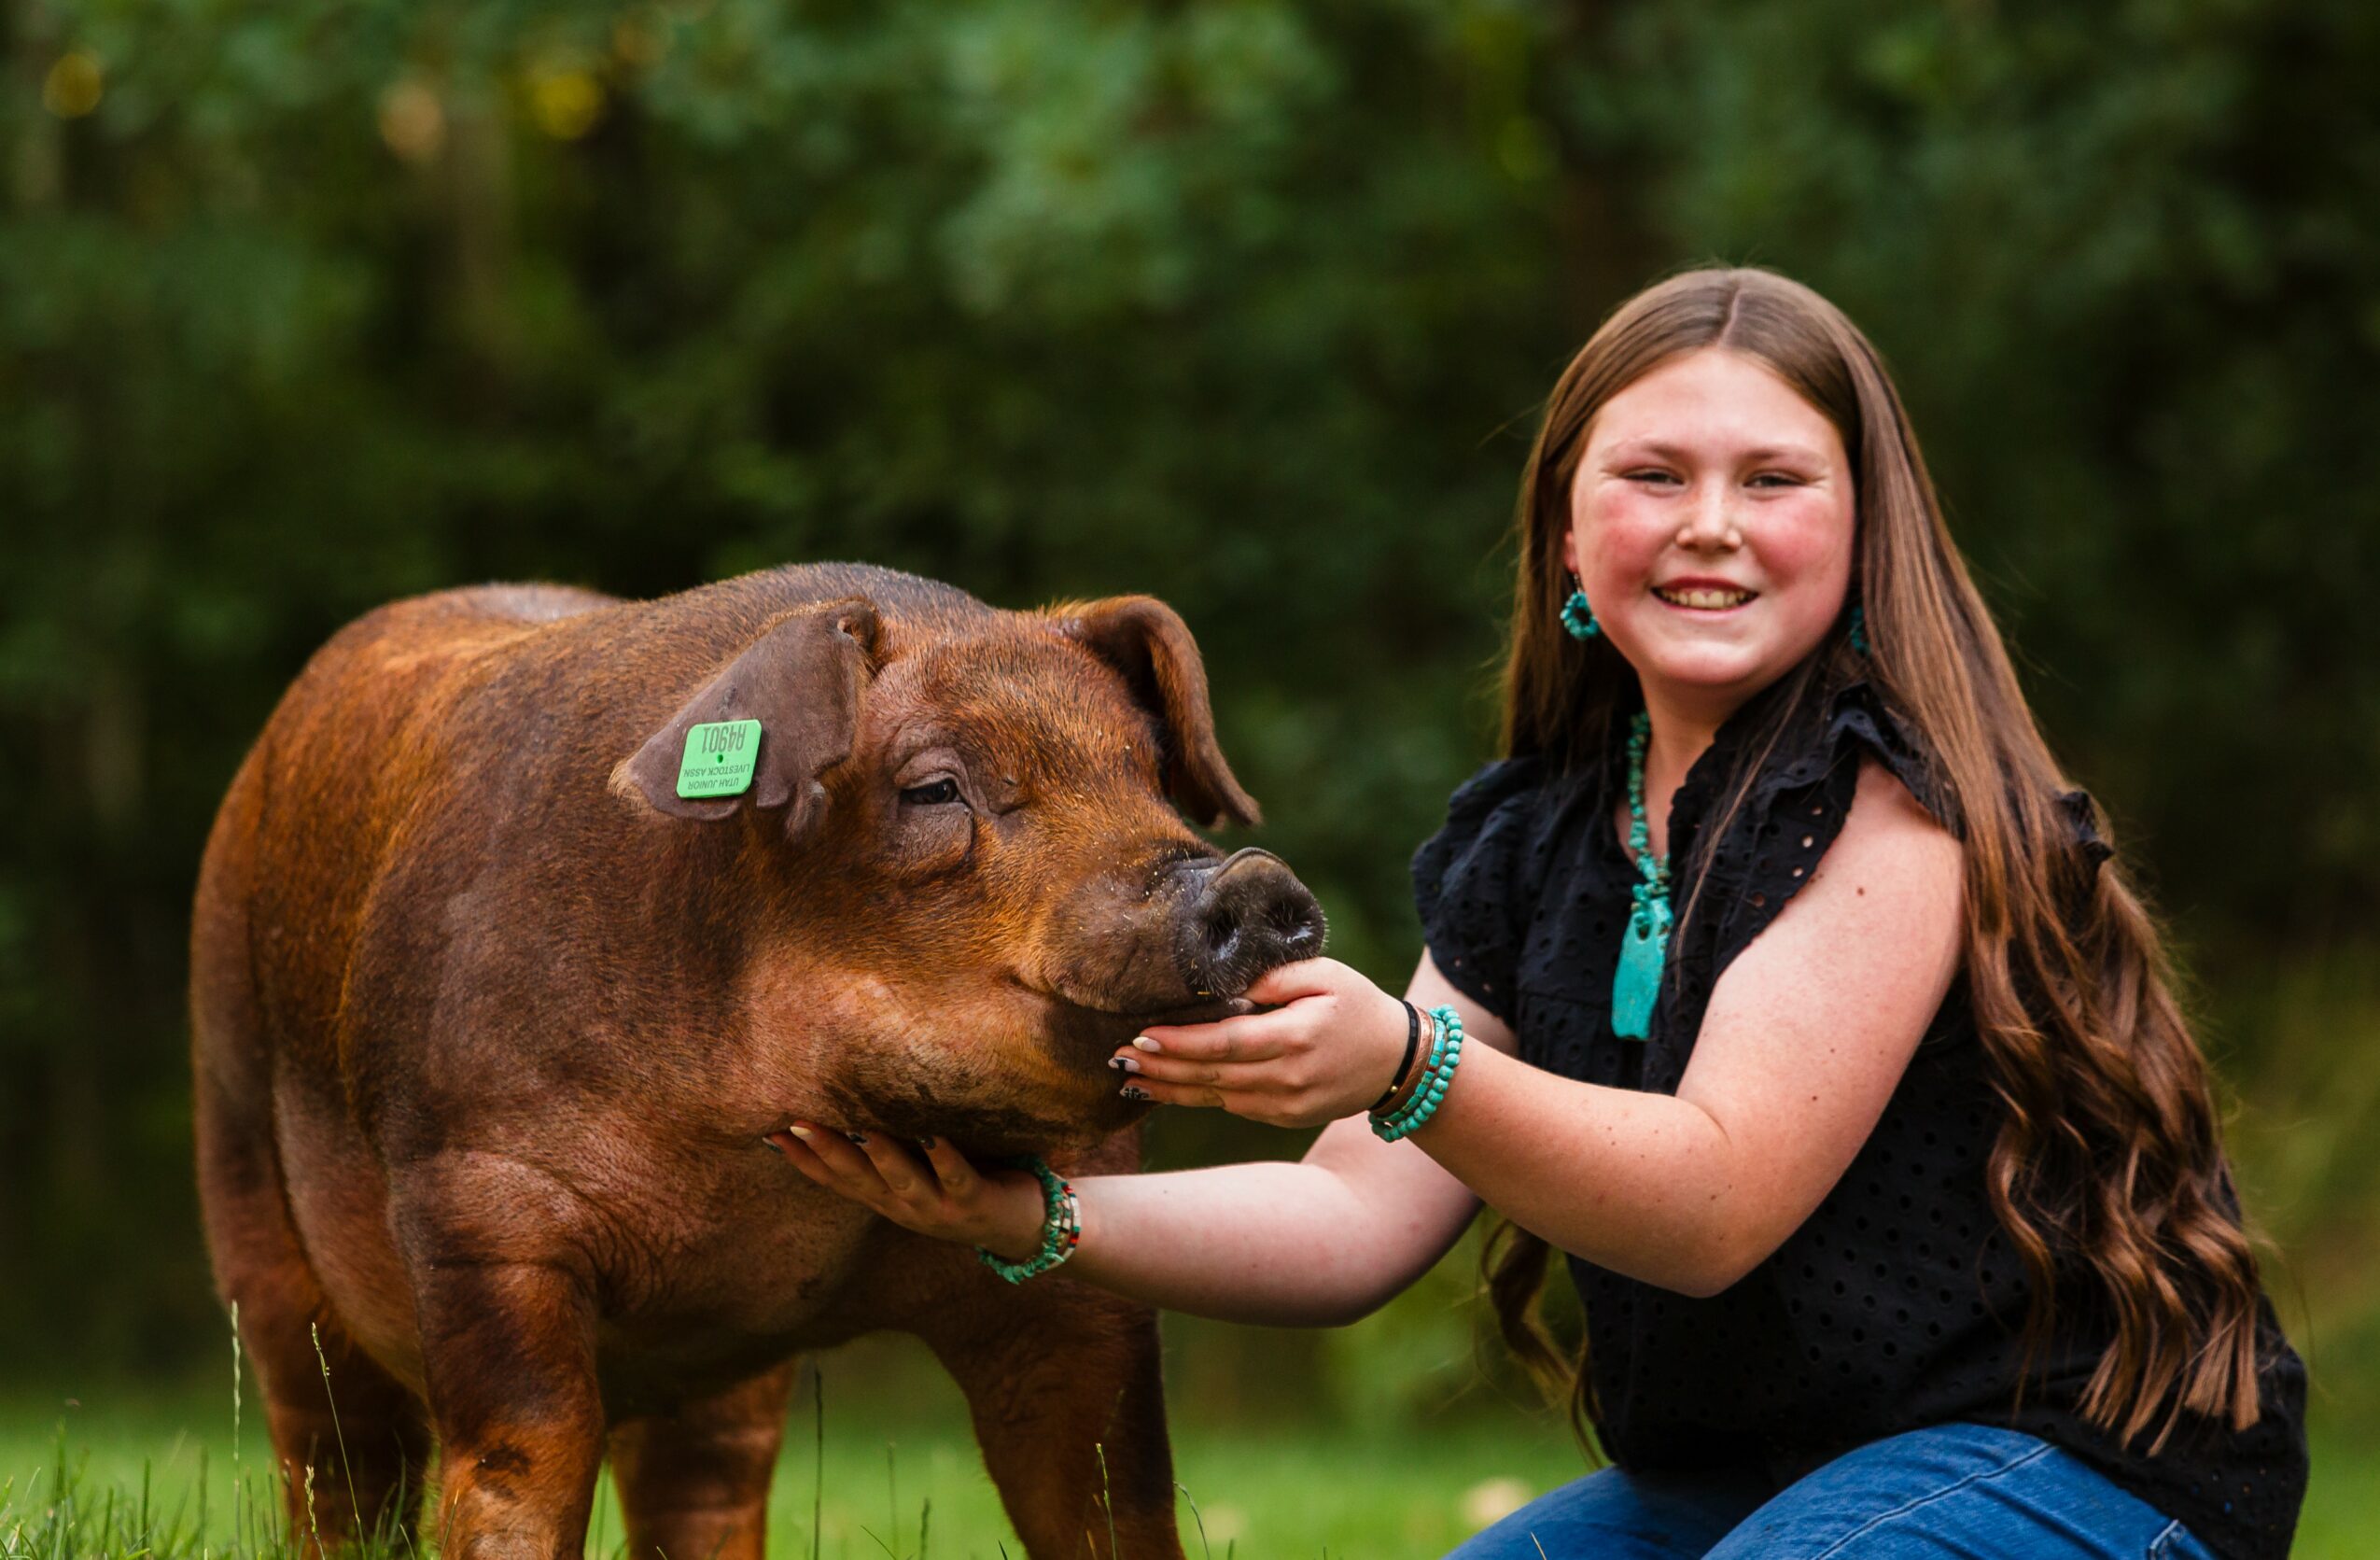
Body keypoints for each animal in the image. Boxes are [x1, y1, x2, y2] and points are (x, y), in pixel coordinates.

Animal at [189, 564, 1325, 1560]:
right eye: (934, 787)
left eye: (1149, 772)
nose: (1253, 880)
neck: (746, 1173)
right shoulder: (476, 1211)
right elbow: (521, 1465)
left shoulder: (1077, 1272)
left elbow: (1109, 1492)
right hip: (247, 1175)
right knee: (335, 1460)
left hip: (720, 1378)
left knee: (703, 1482)